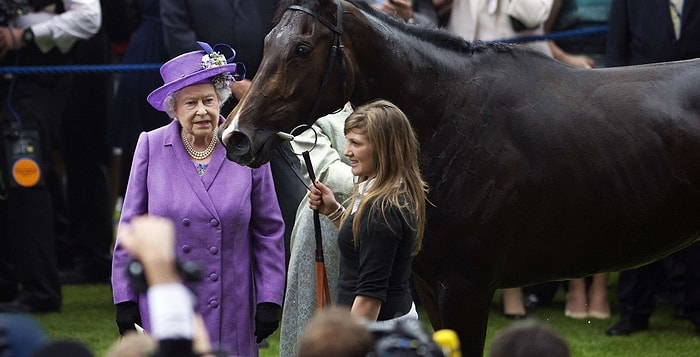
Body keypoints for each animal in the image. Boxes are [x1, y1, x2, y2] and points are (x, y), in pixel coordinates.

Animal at [221, 0, 700, 354]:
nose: (235, 137)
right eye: (268, 41)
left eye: (302, 49)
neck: (451, 117)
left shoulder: (467, 287)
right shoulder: (430, 287)